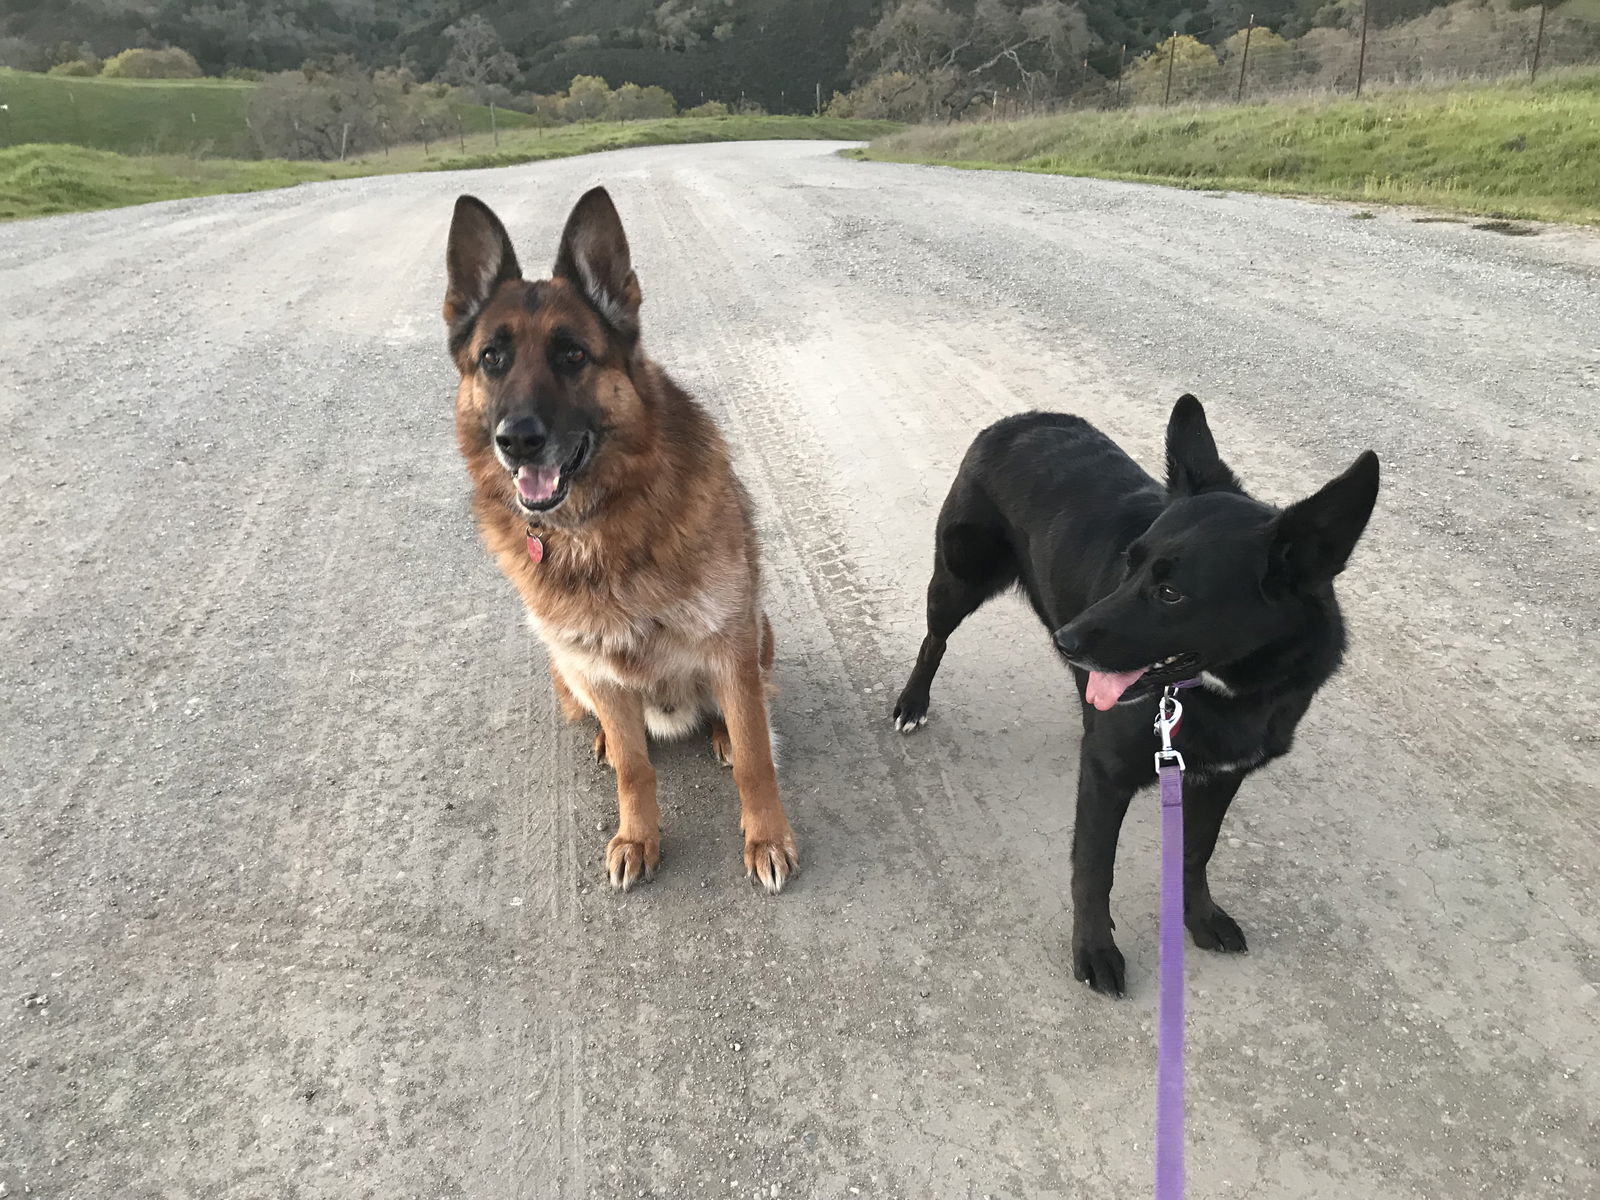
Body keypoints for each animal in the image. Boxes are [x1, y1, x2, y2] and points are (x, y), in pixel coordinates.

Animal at [441, 190, 796, 896]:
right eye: (492, 358)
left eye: (573, 355)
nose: (517, 440)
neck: (598, 526)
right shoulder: (599, 667)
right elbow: (636, 769)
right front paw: (638, 835)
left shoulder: (730, 644)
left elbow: (755, 760)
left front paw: (767, 837)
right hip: (569, 668)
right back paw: (608, 740)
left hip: (757, 633)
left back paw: (719, 729)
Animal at [889, 400, 1376, 998]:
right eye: (1129, 561)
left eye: (1170, 593)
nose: (1066, 642)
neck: (1224, 690)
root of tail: (1022, 418)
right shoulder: (1107, 775)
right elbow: (1094, 869)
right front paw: (1095, 950)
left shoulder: (1223, 776)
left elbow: (1196, 851)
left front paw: (1199, 917)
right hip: (957, 579)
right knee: (933, 640)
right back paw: (913, 701)